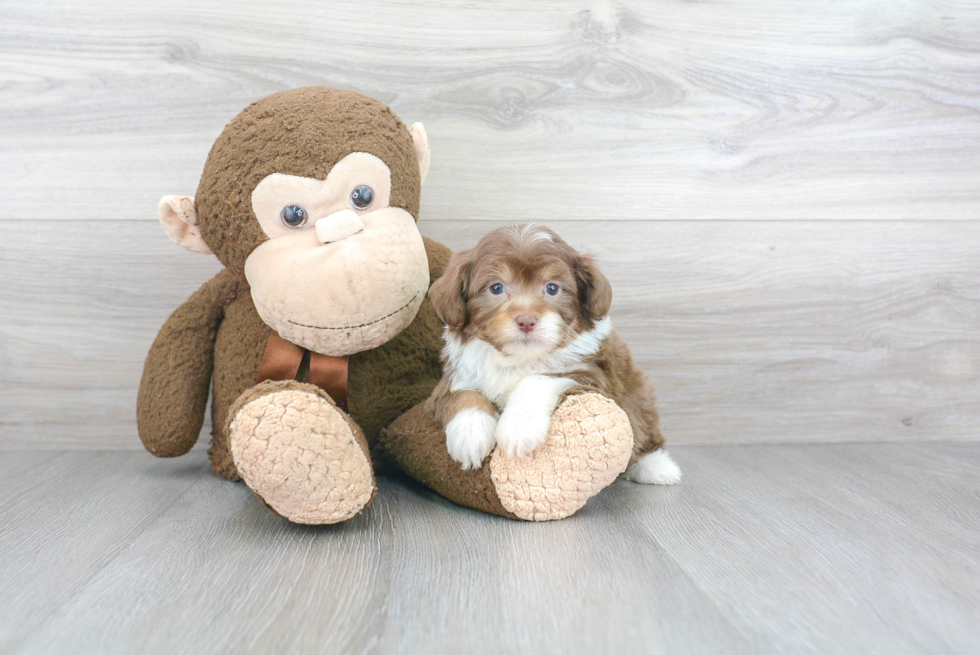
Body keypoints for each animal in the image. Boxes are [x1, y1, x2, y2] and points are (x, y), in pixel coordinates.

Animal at [428, 223, 680, 484]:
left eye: (552, 288)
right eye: (496, 287)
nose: (526, 321)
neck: (519, 358)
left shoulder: (589, 373)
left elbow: (535, 379)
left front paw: (519, 427)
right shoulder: (454, 376)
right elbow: (463, 394)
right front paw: (470, 433)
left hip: (638, 394)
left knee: (644, 428)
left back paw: (656, 466)